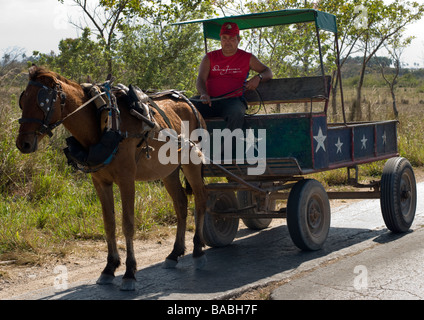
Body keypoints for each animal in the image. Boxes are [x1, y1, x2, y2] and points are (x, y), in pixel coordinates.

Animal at [15, 66, 208, 292]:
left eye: (42, 101)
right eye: (22, 100)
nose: (23, 143)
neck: (107, 123)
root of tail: (190, 103)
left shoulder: (126, 180)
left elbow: (128, 224)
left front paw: (129, 272)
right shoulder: (100, 182)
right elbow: (109, 223)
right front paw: (109, 268)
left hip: (192, 163)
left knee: (201, 200)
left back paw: (198, 249)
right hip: (167, 171)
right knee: (181, 203)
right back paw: (175, 253)